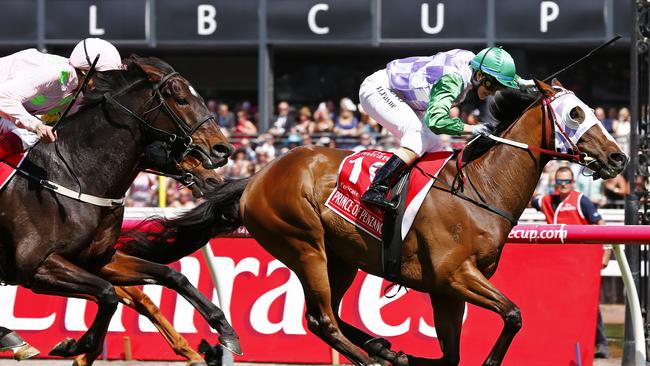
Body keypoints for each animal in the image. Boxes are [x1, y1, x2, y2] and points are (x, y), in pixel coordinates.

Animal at [0, 55, 240, 362]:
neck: (74, 174)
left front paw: (225, 329)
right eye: (181, 99)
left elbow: (171, 276)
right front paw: (77, 345)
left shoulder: (98, 260)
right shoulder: (36, 266)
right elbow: (108, 294)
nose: (222, 150)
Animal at [115, 80, 624, 366]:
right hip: (305, 245)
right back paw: (369, 355)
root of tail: (257, 175)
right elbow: (514, 315)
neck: (480, 188)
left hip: (340, 259)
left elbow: (451, 355)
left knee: (330, 315)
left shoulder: (446, 288)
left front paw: (405, 352)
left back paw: (383, 348)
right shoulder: (455, 275)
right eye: (575, 112)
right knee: (322, 320)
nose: (618, 157)